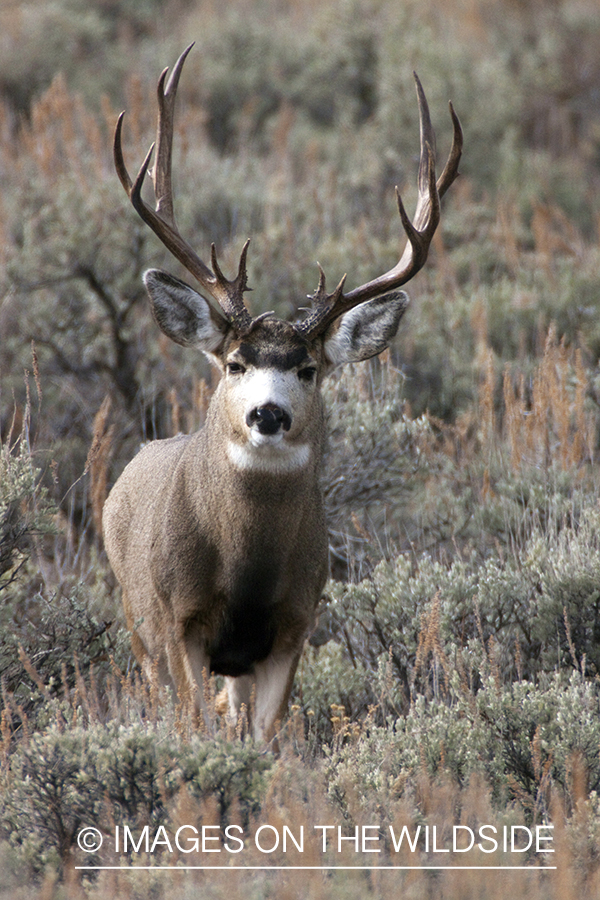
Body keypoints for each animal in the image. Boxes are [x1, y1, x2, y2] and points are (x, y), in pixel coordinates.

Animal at [103, 42, 462, 740]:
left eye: (308, 369)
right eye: (234, 364)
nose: (267, 415)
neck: (245, 571)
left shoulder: (295, 624)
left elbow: (265, 737)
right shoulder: (177, 619)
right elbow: (196, 727)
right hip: (137, 624)